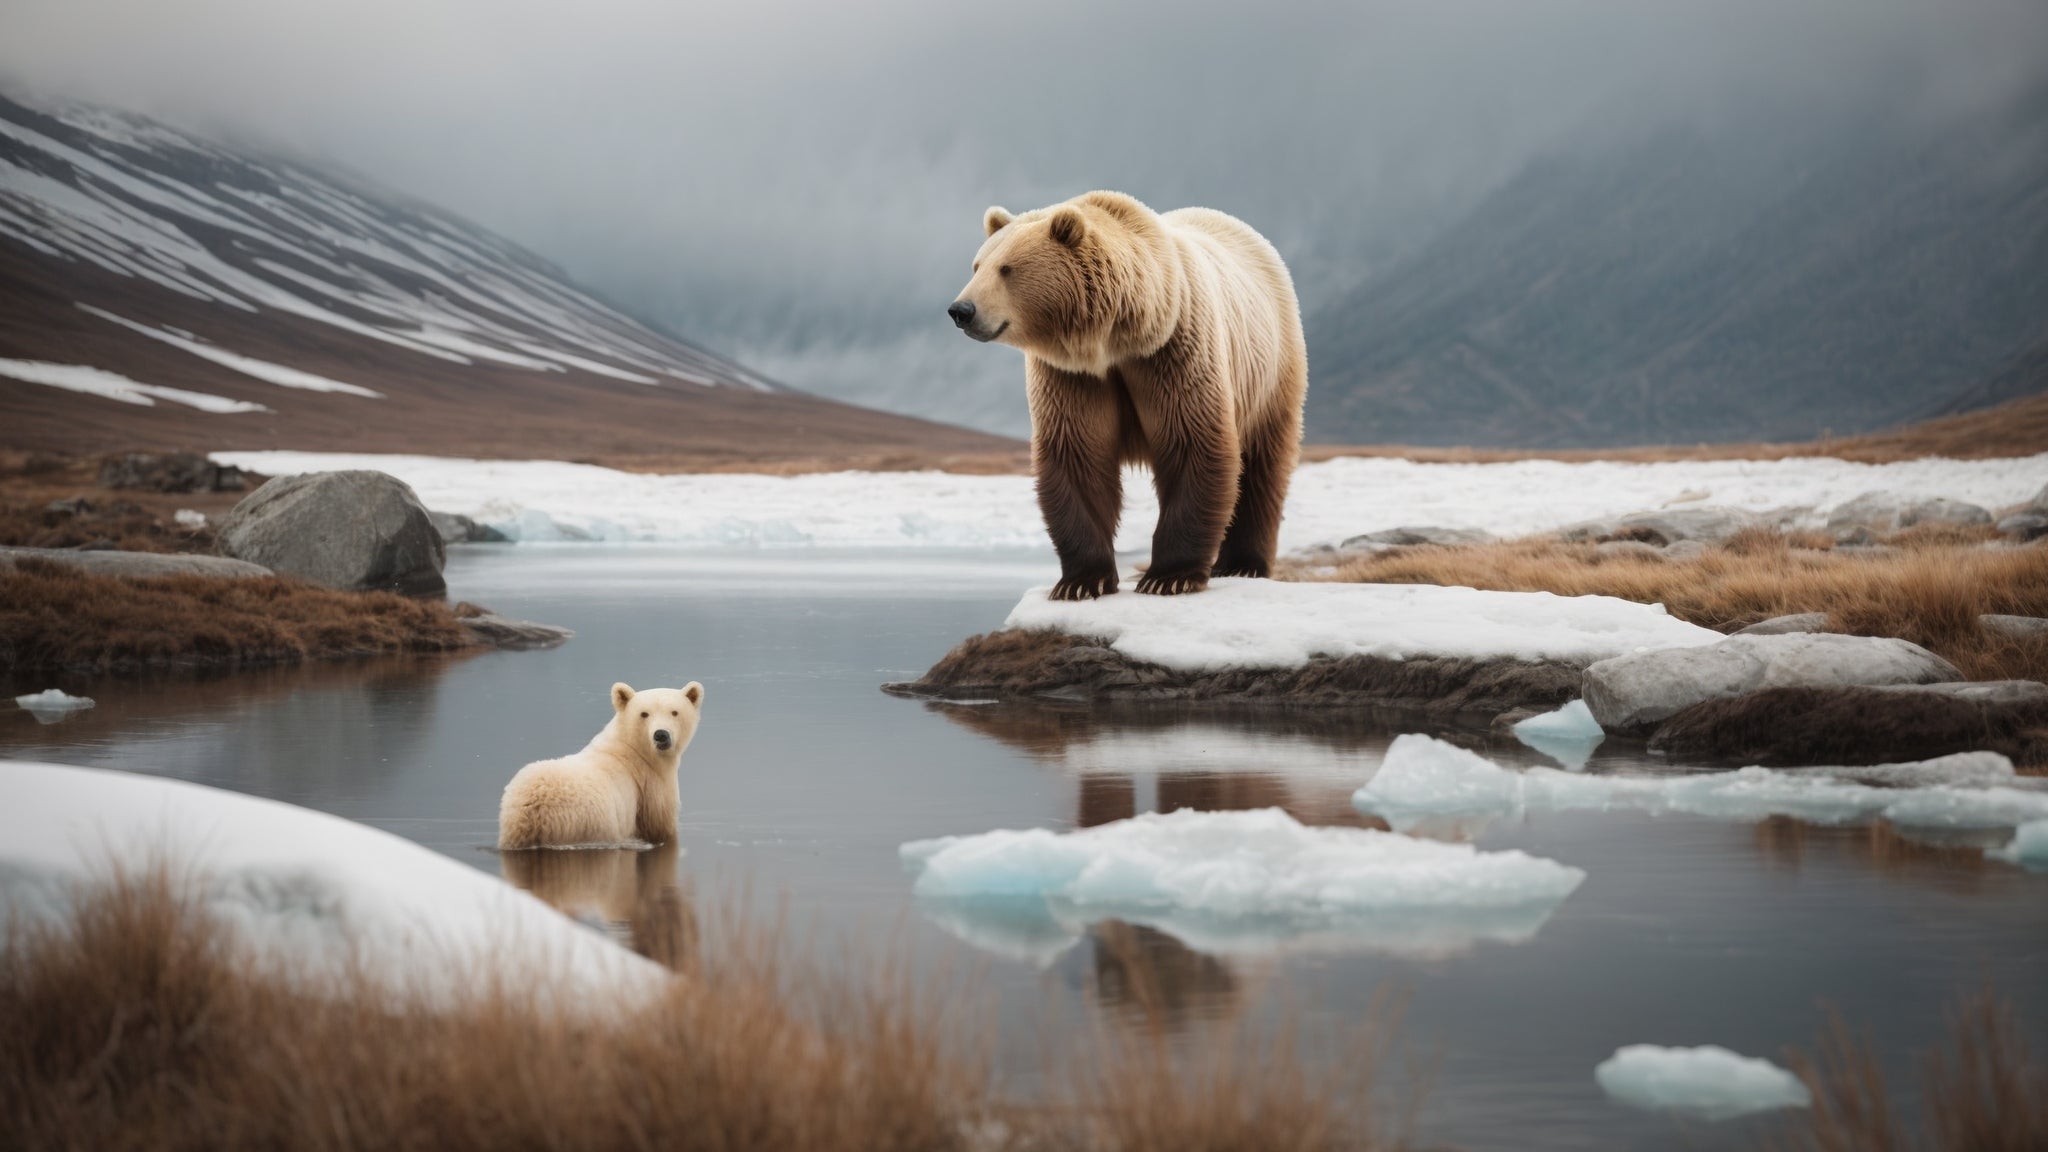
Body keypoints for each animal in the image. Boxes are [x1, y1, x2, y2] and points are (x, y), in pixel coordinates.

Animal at [498, 681, 703, 850]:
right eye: (644, 714)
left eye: (674, 712)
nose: (661, 735)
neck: (634, 751)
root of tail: (534, 811)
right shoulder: (650, 788)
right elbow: (660, 825)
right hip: (586, 823)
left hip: (513, 824)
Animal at [948, 190, 1306, 599]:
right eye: (977, 266)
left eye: (1007, 269)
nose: (961, 310)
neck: (1115, 338)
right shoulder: (1073, 376)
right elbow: (1077, 454)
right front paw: (1080, 582)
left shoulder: (1173, 352)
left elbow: (1191, 443)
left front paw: (1168, 576)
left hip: (1271, 370)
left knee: (1263, 464)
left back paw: (1243, 564)